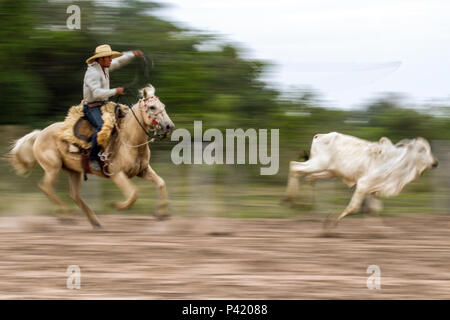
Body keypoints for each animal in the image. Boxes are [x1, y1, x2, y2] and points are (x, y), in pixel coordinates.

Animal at [284, 131, 440, 226]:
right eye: (421, 150)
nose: (435, 163)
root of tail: (319, 136)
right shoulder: (363, 185)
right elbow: (354, 207)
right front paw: (331, 223)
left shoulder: (374, 190)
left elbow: (374, 209)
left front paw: (378, 231)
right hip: (317, 164)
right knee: (294, 167)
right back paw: (290, 200)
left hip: (328, 171)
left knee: (308, 178)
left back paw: (303, 205)